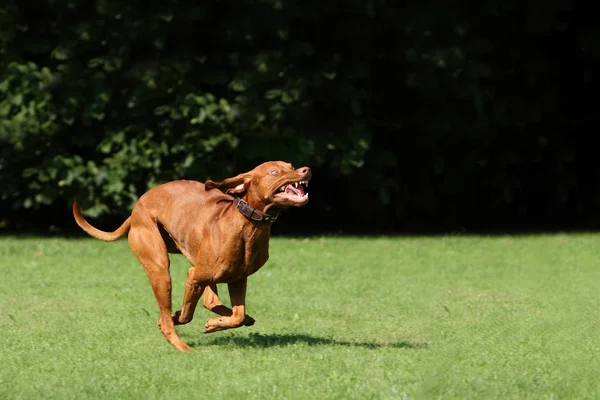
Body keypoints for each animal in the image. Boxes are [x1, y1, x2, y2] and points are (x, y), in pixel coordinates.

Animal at [72, 161, 312, 352]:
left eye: (290, 165)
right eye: (274, 171)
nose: (306, 170)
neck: (248, 225)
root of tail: (136, 209)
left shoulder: (237, 279)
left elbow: (238, 315)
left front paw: (217, 323)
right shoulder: (194, 276)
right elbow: (186, 315)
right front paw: (180, 318)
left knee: (211, 301)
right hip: (160, 268)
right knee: (173, 316)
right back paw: (182, 345)